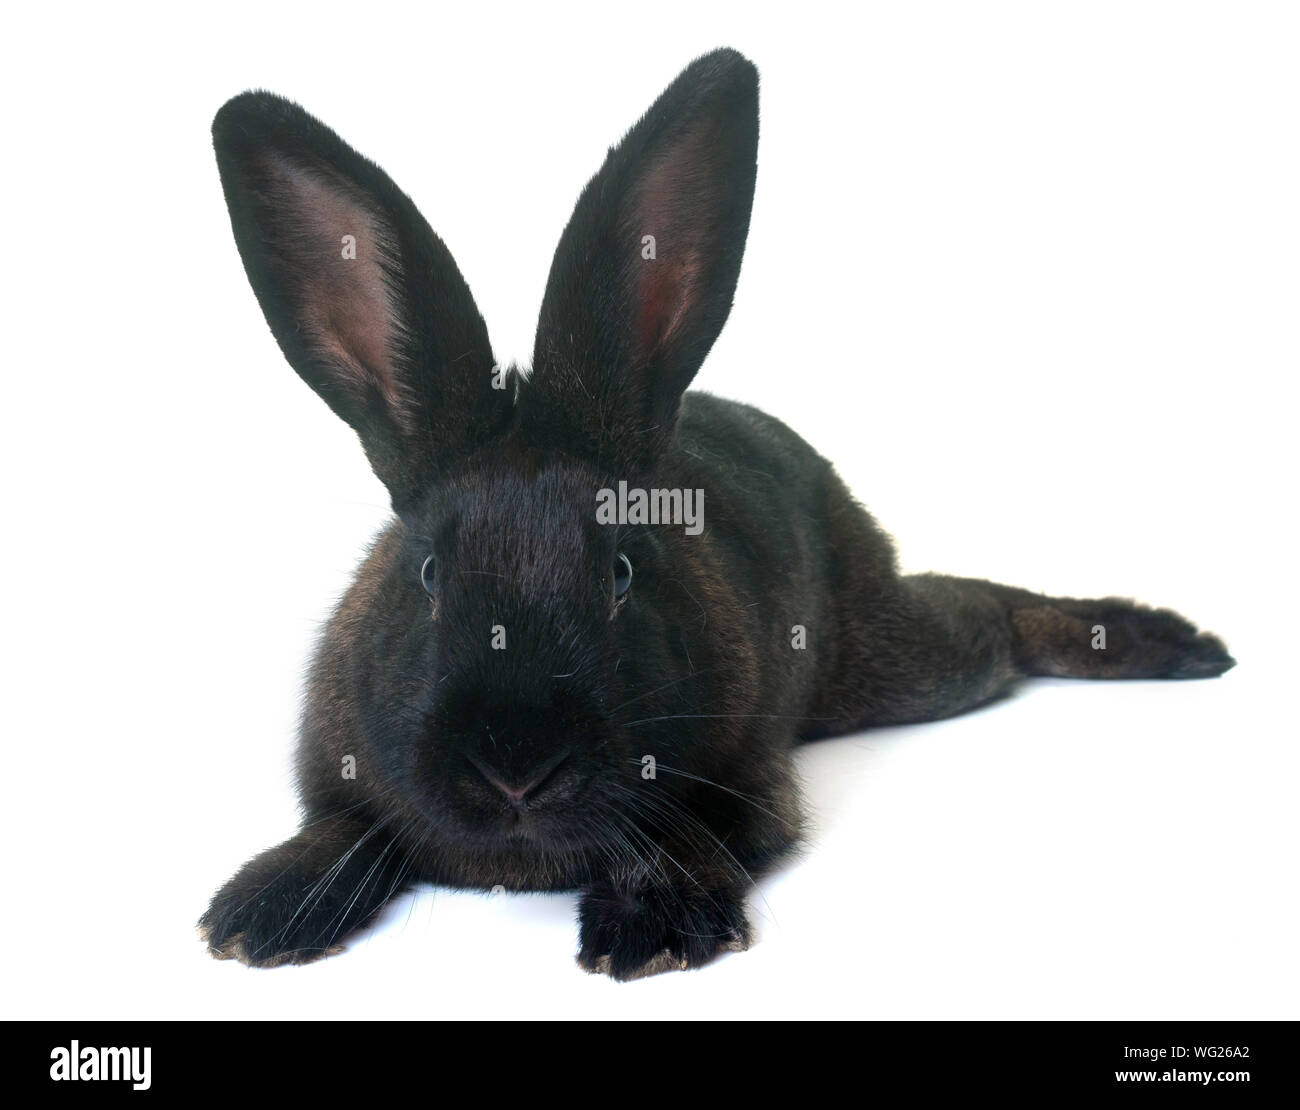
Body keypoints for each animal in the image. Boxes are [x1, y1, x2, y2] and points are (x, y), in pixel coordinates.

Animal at [199, 48, 1234, 980]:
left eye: (621, 569)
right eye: (424, 574)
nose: (517, 768)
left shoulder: (748, 786)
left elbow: (691, 839)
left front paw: (651, 935)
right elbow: (338, 831)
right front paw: (257, 917)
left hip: (900, 660)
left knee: (988, 610)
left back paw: (1166, 642)